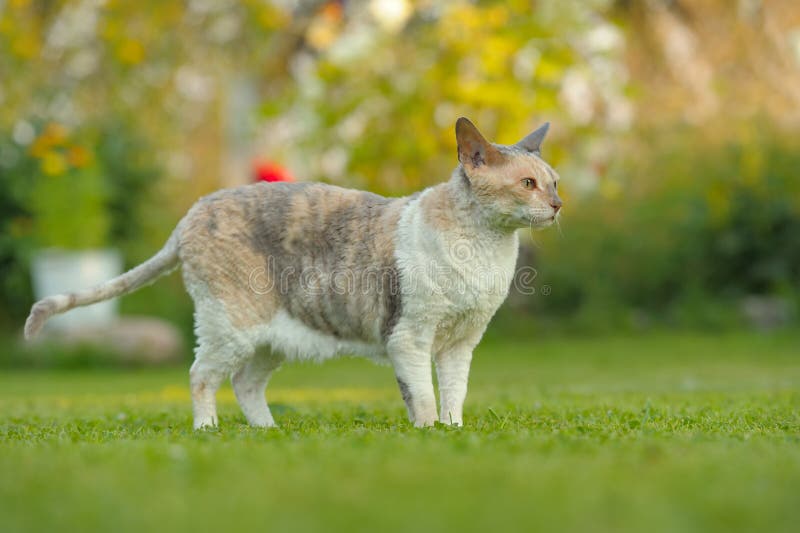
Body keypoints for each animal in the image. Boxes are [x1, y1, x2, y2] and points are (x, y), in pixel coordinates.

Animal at [25, 116, 564, 428]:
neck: (486, 251)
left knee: (244, 383)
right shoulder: (410, 338)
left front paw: (453, 434)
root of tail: (194, 210)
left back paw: (269, 433)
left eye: (555, 183)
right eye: (528, 184)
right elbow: (423, 399)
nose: (559, 205)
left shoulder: (459, 344)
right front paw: (430, 436)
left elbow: (453, 396)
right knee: (201, 376)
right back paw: (209, 432)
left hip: (270, 339)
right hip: (230, 324)